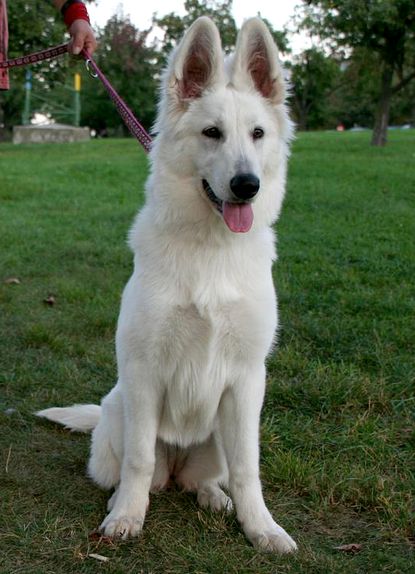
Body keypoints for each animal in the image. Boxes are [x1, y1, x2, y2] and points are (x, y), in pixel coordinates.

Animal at [35, 16, 296, 552]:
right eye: (212, 133)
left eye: (258, 134)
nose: (247, 186)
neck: (210, 251)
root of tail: (178, 466)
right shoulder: (144, 372)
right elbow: (139, 461)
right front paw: (126, 518)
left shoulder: (247, 381)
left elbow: (248, 468)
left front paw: (261, 527)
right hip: (119, 413)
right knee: (142, 472)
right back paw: (123, 499)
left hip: (218, 436)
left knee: (205, 479)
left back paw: (215, 497)